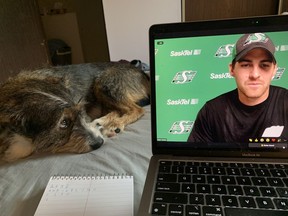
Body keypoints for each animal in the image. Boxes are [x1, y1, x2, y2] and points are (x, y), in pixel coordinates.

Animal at [0, 61, 150, 161]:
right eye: (64, 123)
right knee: (115, 110)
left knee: (137, 110)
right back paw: (101, 122)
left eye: (80, 111)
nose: (99, 142)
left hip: (104, 83)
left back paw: (115, 124)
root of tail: (142, 73)